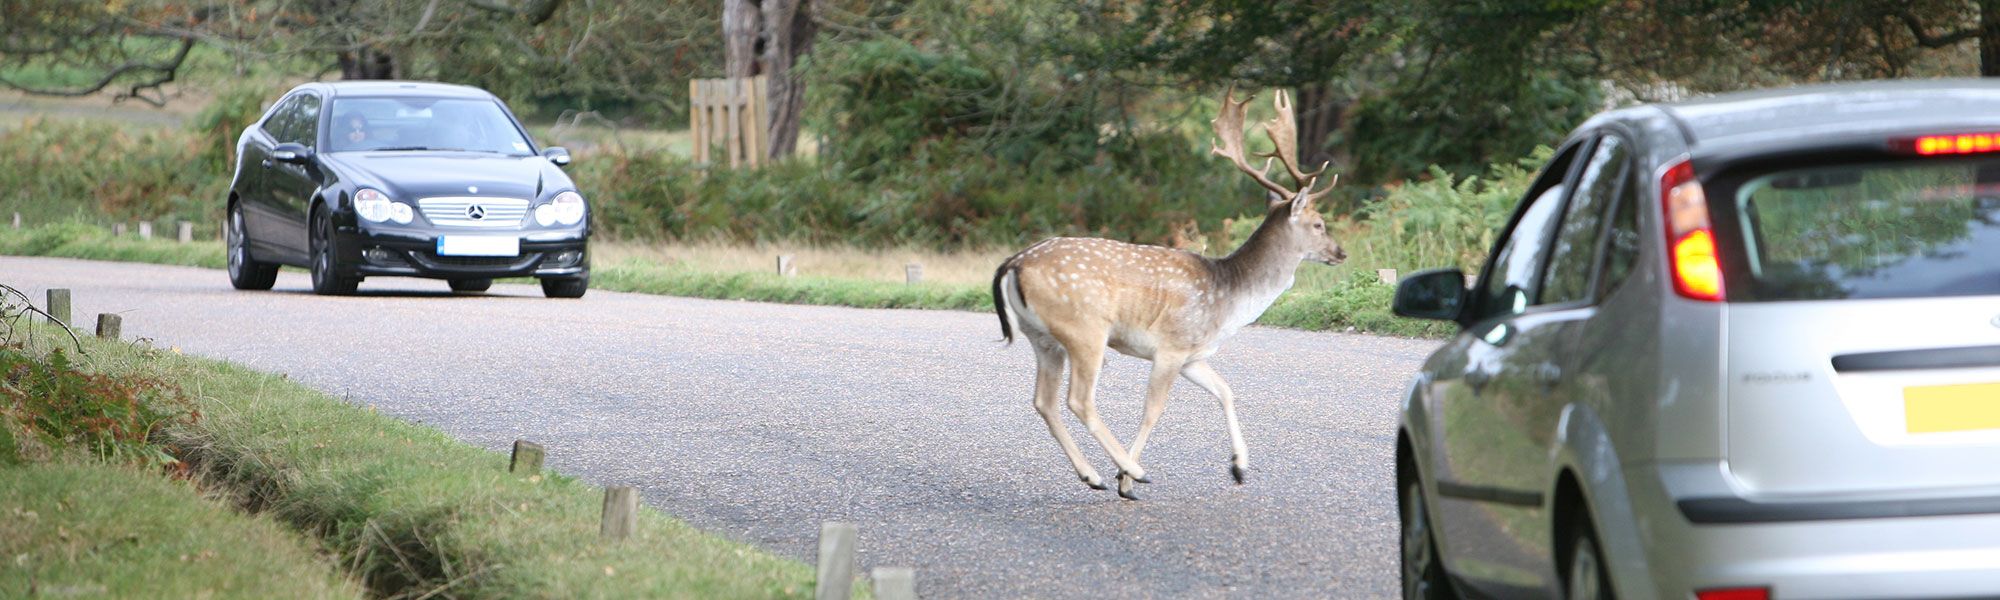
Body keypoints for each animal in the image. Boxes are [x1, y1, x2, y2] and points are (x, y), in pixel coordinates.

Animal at [996, 86, 1352, 500]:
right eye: (1318, 223)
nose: (1340, 253)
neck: (1229, 298)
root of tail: (1014, 263)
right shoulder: (1171, 346)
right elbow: (1154, 409)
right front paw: (1126, 480)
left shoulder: (1193, 355)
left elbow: (1226, 391)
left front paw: (1239, 467)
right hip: (1085, 329)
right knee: (1079, 400)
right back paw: (1131, 470)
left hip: (1042, 337)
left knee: (1044, 401)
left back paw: (1092, 475)